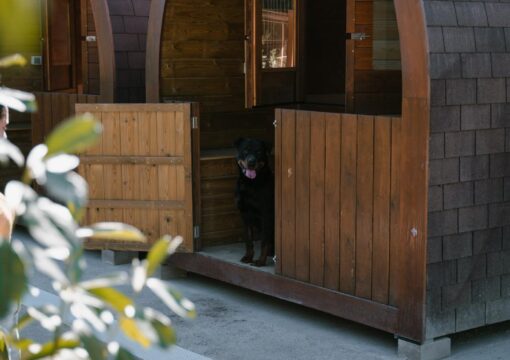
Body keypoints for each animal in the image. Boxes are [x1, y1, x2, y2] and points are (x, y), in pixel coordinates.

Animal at [235, 138, 274, 268]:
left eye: (259, 152)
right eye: (245, 151)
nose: (251, 162)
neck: (251, 184)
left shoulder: (266, 215)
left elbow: (264, 242)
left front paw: (261, 261)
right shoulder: (245, 214)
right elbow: (248, 240)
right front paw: (248, 257)